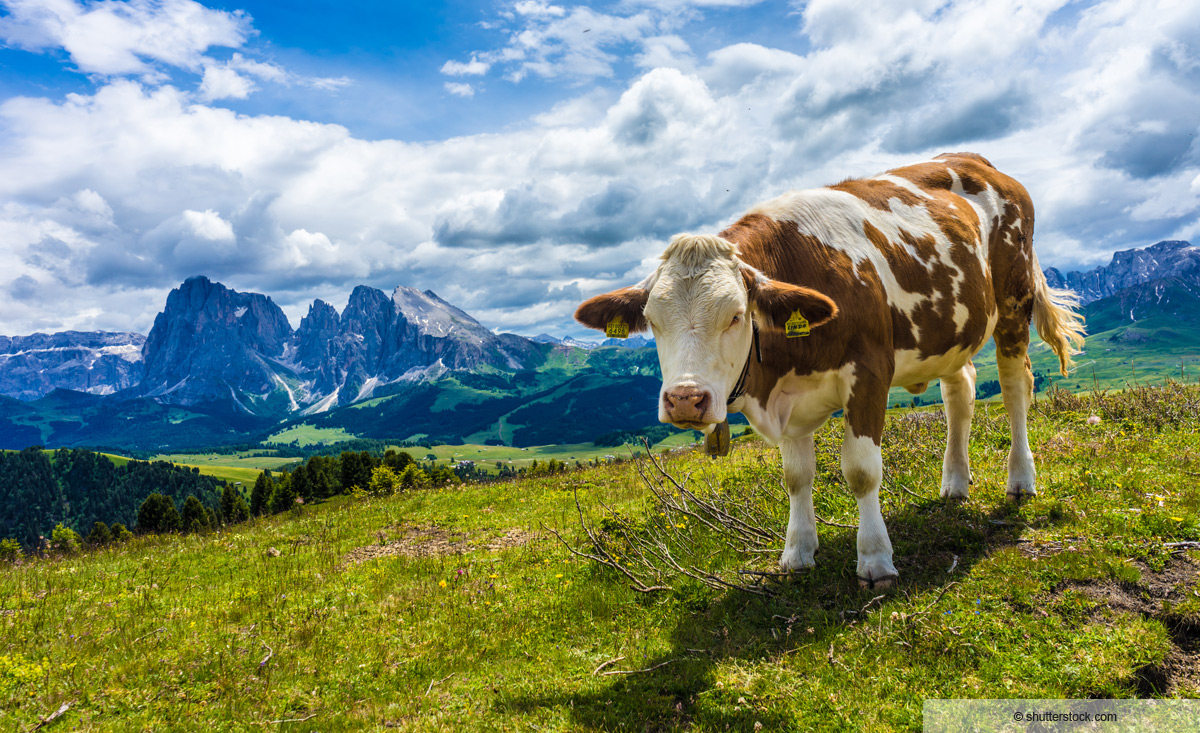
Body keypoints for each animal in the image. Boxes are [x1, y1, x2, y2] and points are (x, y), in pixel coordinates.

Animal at [573, 153, 1089, 590]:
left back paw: (1020, 480)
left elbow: (861, 471)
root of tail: (979, 162)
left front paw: (876, 559)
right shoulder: (790, 398)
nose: (685, 400)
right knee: (959, 392)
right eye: (653, 322)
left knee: (1015, 387)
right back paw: (955, 484)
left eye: (736, 315)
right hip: (951, 332)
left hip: (1013, 303)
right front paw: (797, 552)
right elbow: (796, 477)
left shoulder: (870, 373)